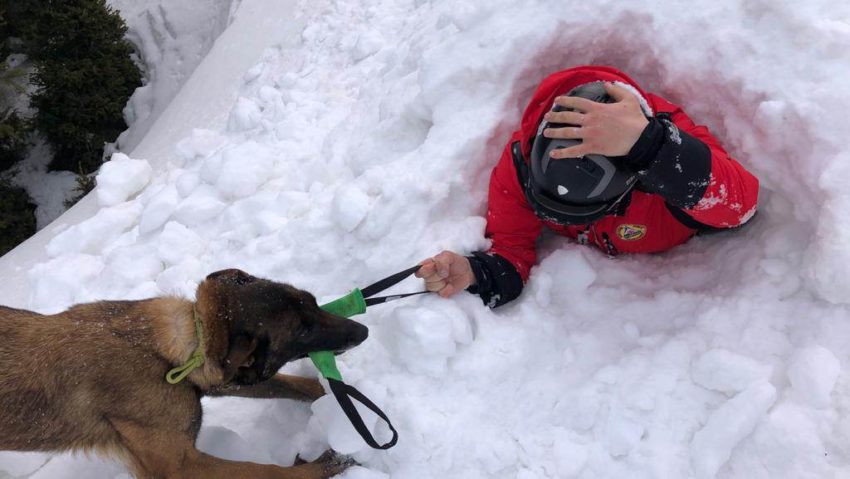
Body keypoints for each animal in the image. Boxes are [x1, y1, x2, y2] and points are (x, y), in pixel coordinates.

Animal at [0, 268, 368, 478]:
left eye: (314, 302)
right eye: (302, 331)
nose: (363, 331)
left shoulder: (217, 380)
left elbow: (297, 385)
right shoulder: (182, 466)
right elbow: (266, 471)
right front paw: (333, 462)